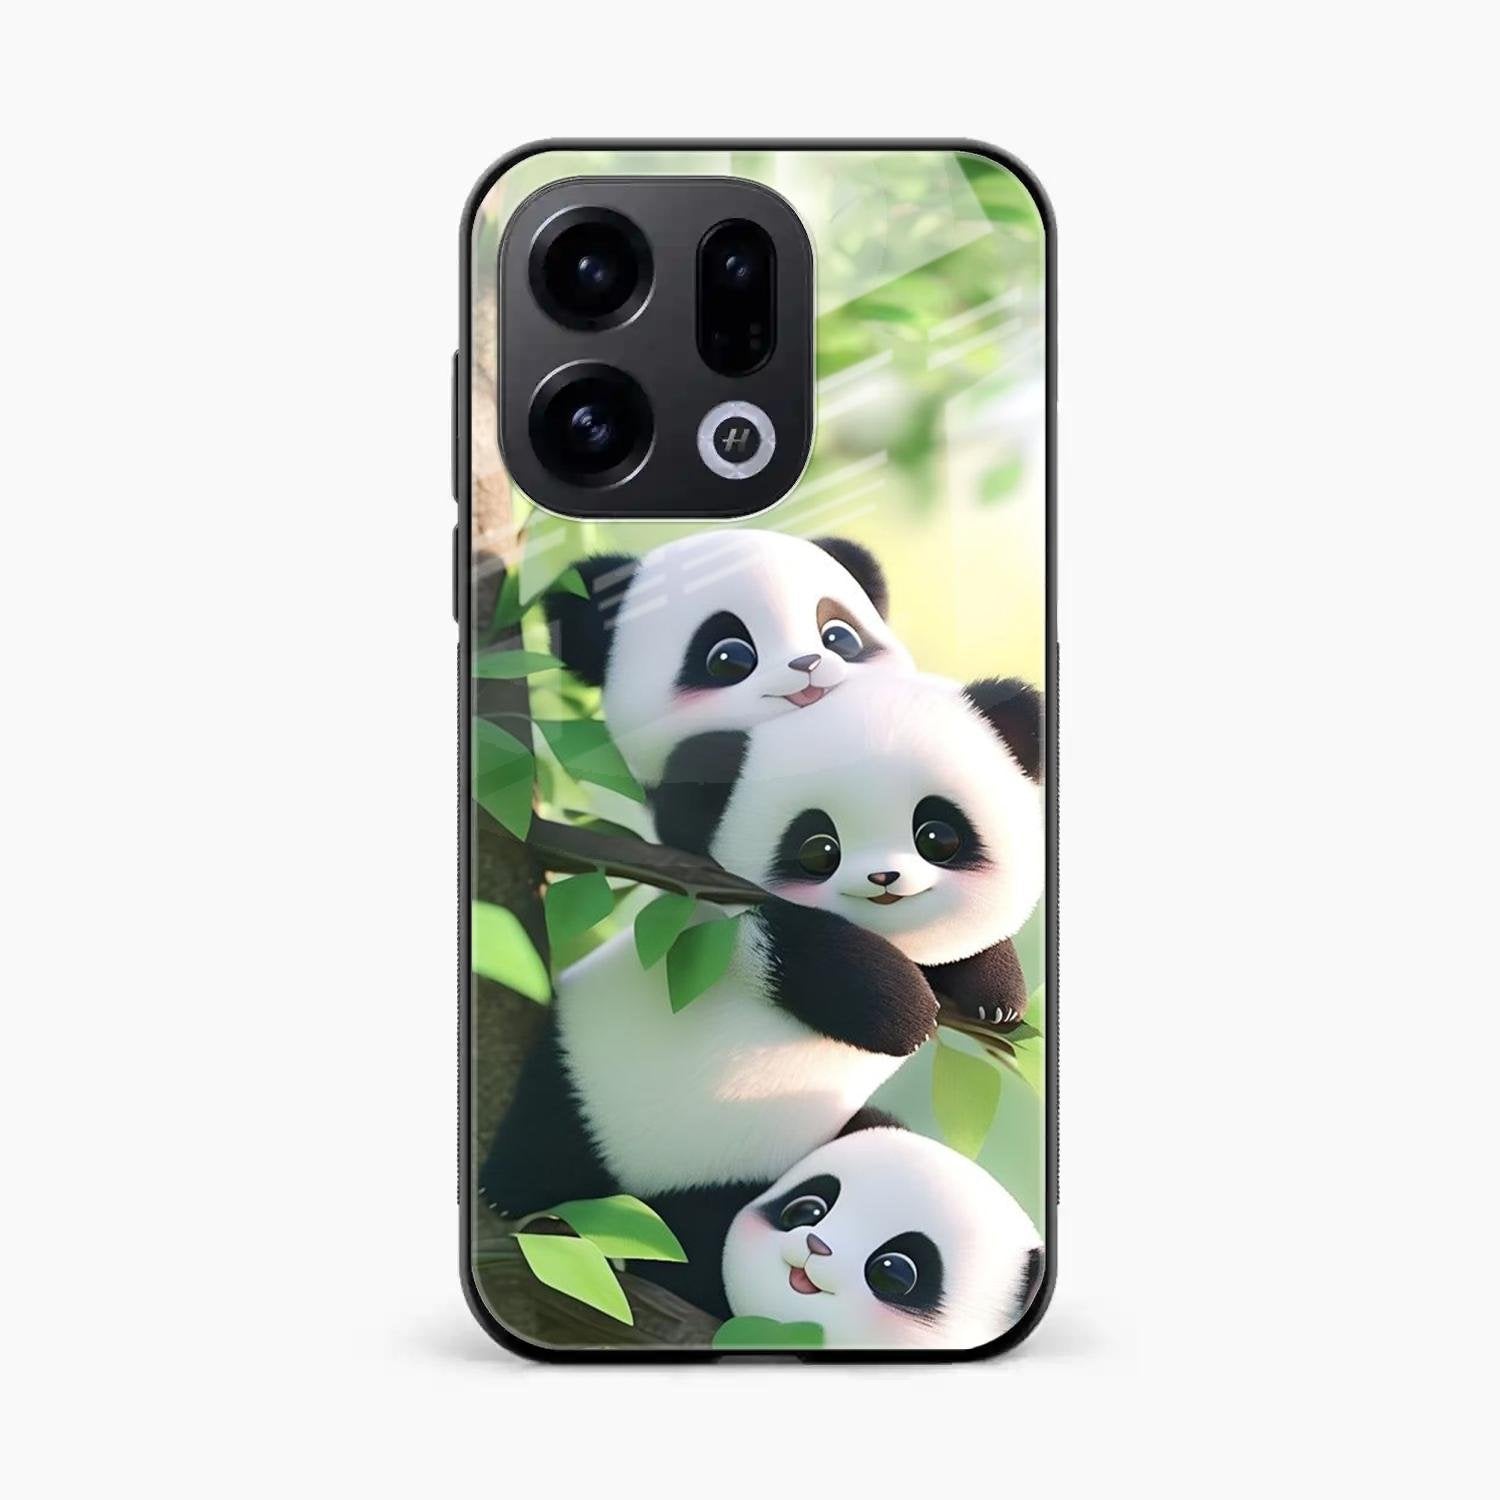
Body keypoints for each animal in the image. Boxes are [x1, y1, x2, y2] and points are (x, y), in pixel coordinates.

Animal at [480, 670, 1043, 1315]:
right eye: (819, 848)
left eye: (938, 834)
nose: (884, 879)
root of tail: (633, 1185)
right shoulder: (713, 914)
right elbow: (788, 945)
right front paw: (906, 1010)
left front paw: (995, 996)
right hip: (587, 1068)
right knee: (553, 1120)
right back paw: (508, 1189)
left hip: (727, 1176)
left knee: (699, 1236)